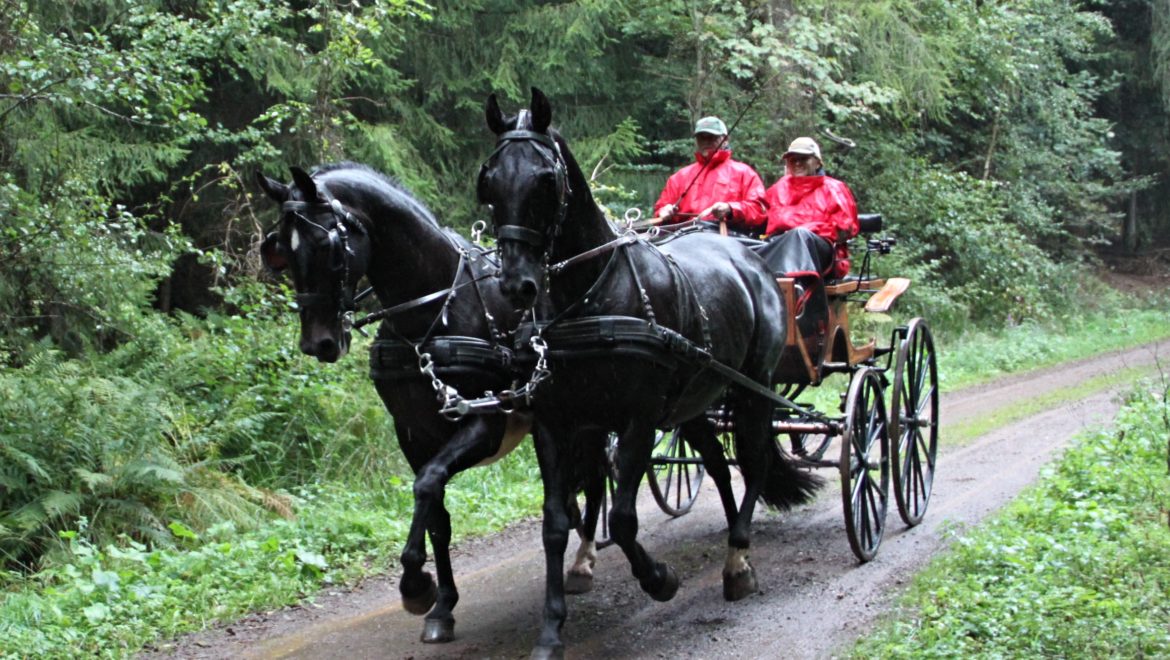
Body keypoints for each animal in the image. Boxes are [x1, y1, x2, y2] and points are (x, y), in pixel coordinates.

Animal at [251, 163, 608, 645]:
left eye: (328, 246)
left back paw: (584, 558)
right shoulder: (413, 434)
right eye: (281, 252)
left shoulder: (483, 424)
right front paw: (441, 606)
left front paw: (416, 585)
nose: (318, 343)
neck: (432, 311)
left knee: (597, 477)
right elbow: (437, 515)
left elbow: (427, 485)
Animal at [479, 90, 819, 655]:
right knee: (720, 466)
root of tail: (750, 261)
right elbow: (555, 523)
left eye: (546, 179)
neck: (589, 296)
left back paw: (739, 562)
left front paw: (660, 579)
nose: (517, 285)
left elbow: (622, 517)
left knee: (753, 462)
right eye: (488, 179)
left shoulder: (637, 420)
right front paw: (551, 628)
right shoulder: (554, 424)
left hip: (754, 389)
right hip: (698, 400)